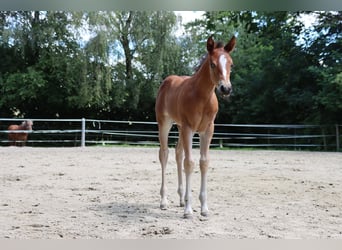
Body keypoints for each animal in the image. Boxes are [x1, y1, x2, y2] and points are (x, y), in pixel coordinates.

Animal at [155, 34, 235, 218]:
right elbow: (189, 163)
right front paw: (188, 210)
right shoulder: (189, 128)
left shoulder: (208, 129)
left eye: (231, 64)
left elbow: (203, 162)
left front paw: (204, 208)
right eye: (212, 64)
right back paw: (164, 200)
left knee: (178, 153)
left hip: (179, 126)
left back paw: (180, 198)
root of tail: (167, 81)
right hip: (165, 123)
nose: (225, 88)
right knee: (164, 154)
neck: (202, 97)